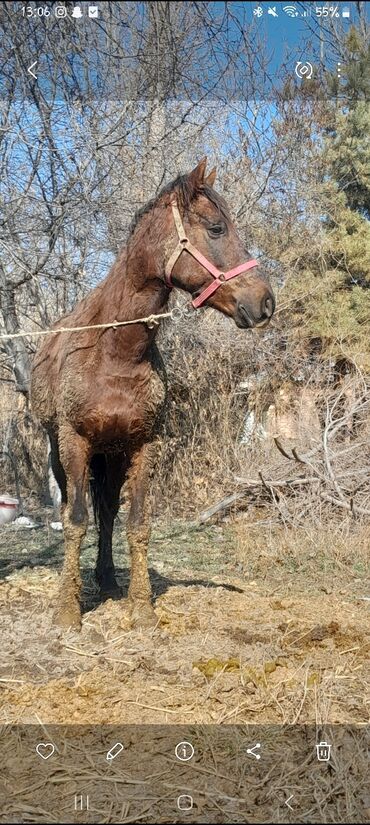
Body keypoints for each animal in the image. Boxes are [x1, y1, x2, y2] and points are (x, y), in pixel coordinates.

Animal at [30, 158, 274, 628]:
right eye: (216, 228)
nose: (265, 302)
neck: (115, 352)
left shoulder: (145, 444)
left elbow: (138, 522)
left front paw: (141, 607)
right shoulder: (74, 442)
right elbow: (75, 521)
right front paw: (67, 610)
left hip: (112, 453)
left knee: (108, 512)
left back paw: (108, 580)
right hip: (64, 452)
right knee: (81, 509)